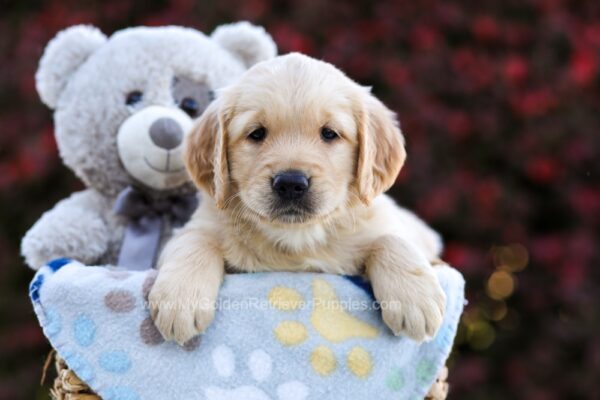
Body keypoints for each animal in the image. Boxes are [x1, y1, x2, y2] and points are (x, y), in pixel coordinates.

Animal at [150, 53, 446, 346]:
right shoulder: (198, 225)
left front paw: (415, 298)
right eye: (256, 133)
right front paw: (179, 300)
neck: (296, 238)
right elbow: (194, 241)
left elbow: (392, 239)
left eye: (329, 133)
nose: (291, 184)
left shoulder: (381, 220)